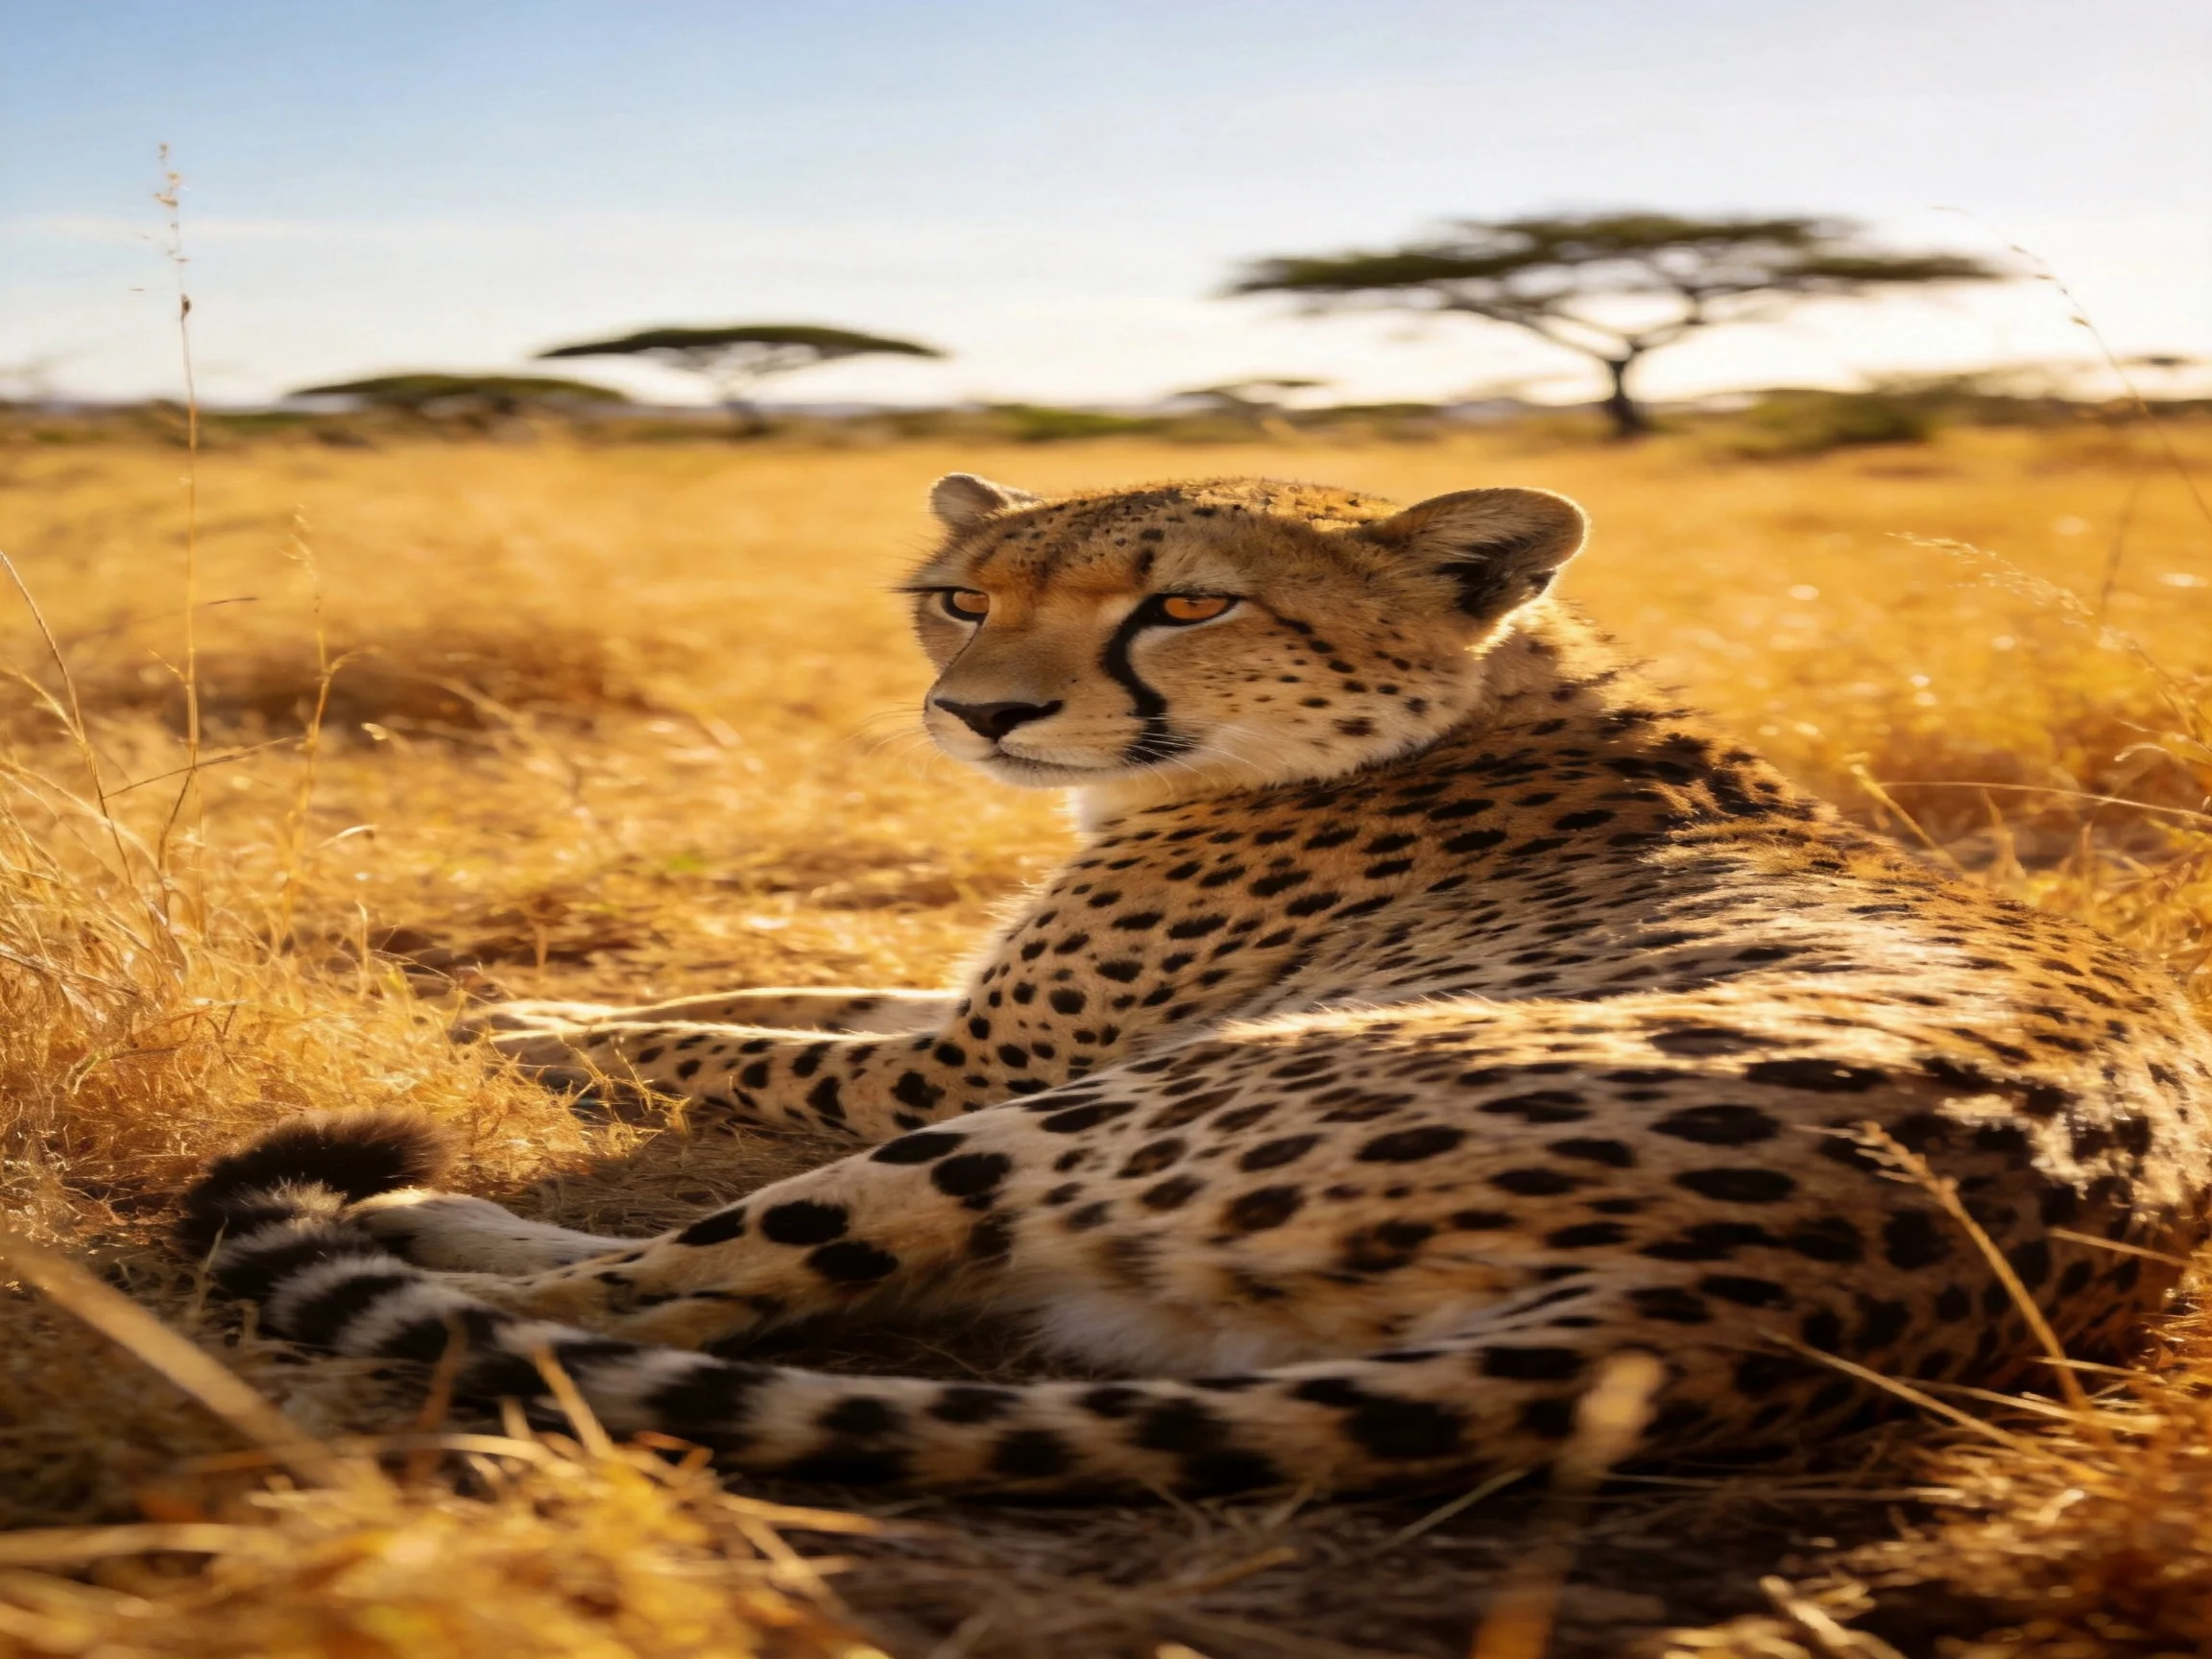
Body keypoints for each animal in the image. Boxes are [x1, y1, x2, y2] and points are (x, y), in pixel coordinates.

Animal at [184, 470, 2212, 1497]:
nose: (978, 712)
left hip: (1116, 1107)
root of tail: (1748, 1308)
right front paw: (546, 1009)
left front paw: (510, 1023)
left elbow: (735, 1049)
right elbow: (779, 991)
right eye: (958, 594)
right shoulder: (968, 1013)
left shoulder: (968, 1068)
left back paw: (439, 1221)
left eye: (1185, 602)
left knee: (661, 1290)